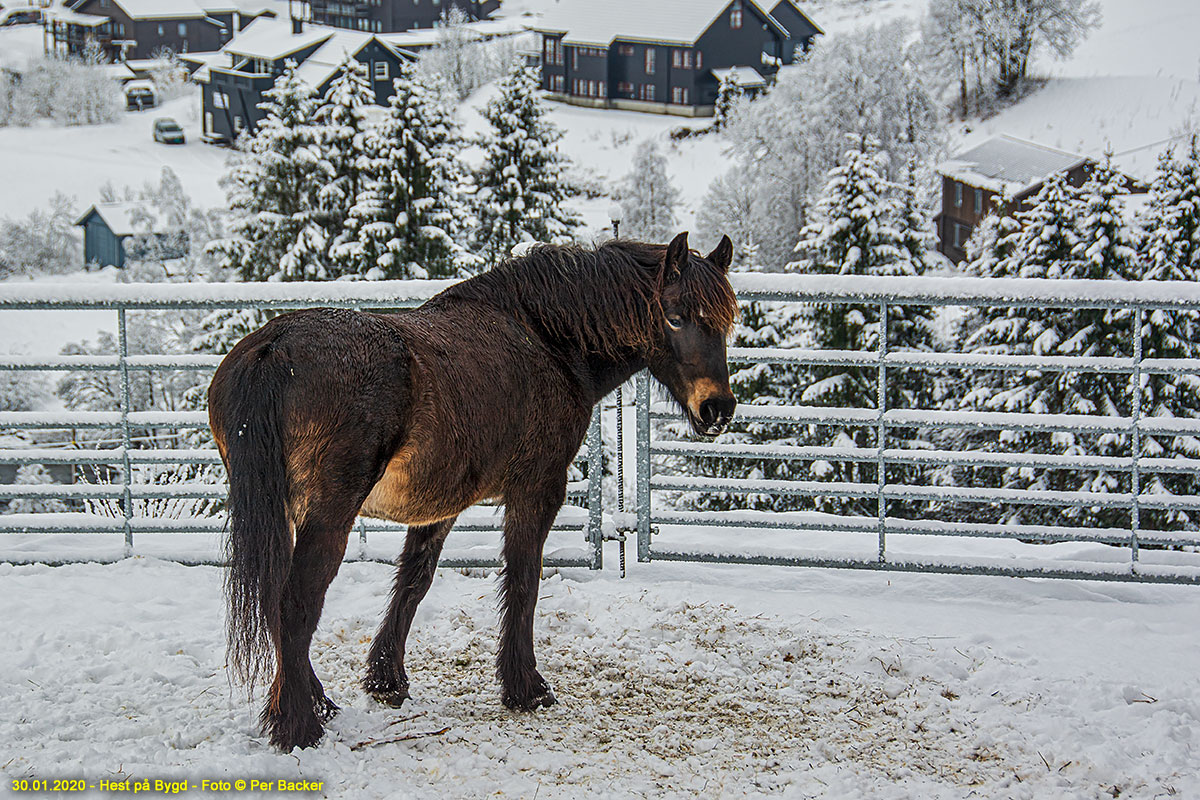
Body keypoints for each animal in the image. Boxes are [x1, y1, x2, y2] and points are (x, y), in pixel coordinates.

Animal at [208, 231, 739, 753]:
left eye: (725, 323)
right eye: (674, 316)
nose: (717, 409)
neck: (547, 338)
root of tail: (273, 348)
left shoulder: (438, 505)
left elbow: (413, 583)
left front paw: (386, 680)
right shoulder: (537, 489)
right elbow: (523, 582)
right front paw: (526, 688)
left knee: (275, 601)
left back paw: (315, 704)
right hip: (328, 516)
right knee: (294, 605)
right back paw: (299, 726)